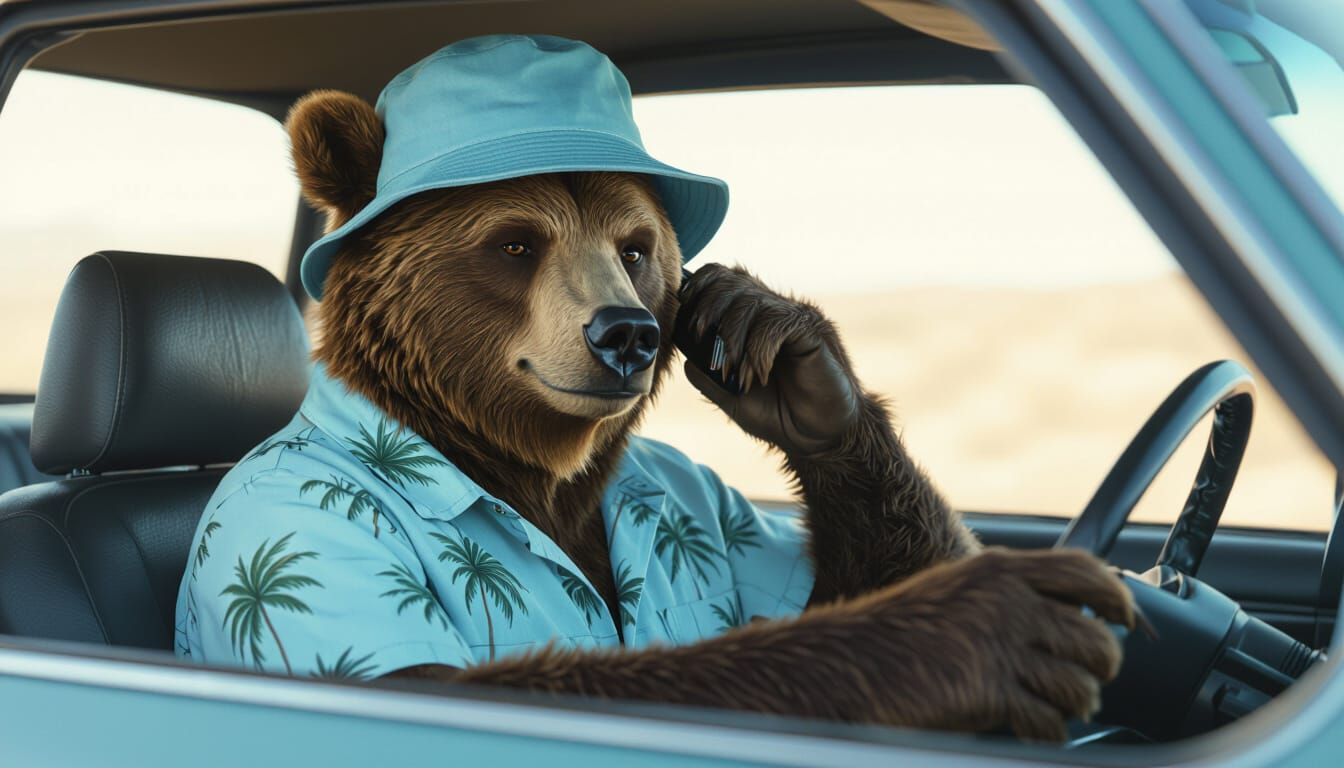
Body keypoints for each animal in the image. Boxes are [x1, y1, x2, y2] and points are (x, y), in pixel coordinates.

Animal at [175, 35, 1132, 743]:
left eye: (635, 246)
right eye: (514, 242)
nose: (626, 333)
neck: (524, 463)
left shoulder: (702, 504)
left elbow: (857, 564)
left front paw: (775, 336)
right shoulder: (294, 534)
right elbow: (458, 683)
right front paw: (997, 624)